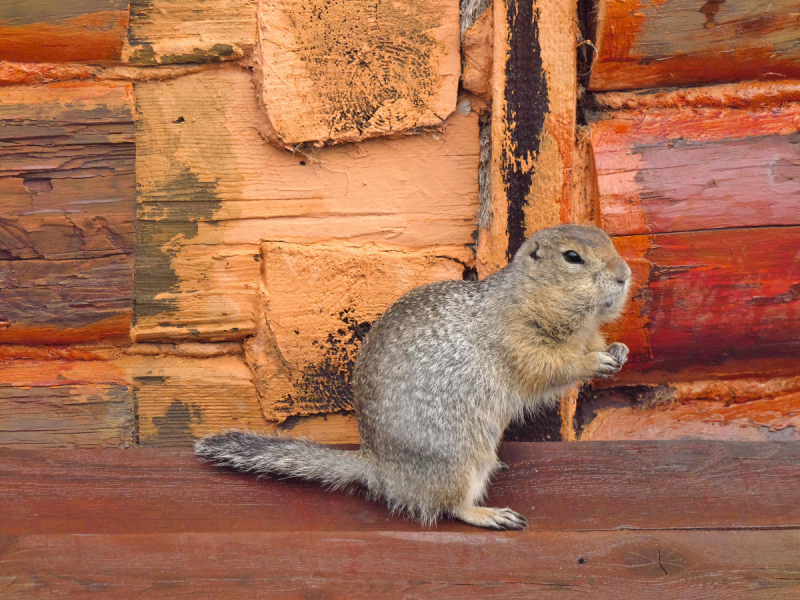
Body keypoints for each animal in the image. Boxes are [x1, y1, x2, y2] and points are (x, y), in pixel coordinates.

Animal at [194, 225, 632, 528]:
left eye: (608, 240)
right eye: (572, 257)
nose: (625, 274)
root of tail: (377, 469)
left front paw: (619, 351)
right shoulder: (518, 338)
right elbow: (549, 366)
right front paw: (594, 363)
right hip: (459, 461)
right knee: (449, 506)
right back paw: (490, 514)